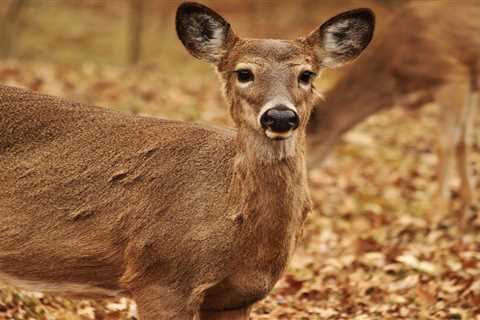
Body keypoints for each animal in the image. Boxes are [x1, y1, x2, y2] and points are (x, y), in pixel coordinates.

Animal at [308, 2, 480, 228]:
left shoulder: (453, 74)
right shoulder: (470, 82)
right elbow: (463, 142)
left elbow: (445, 144)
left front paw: (436, 214)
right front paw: (467, 208)